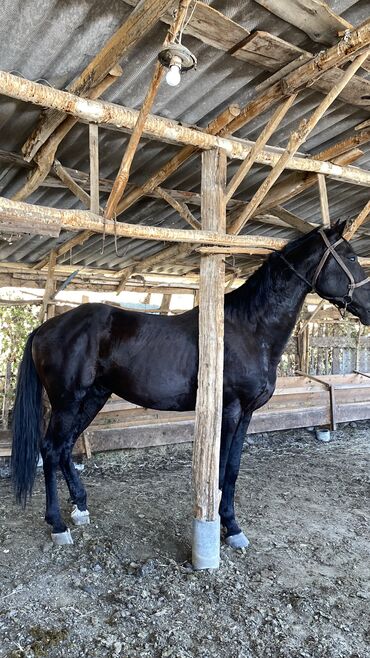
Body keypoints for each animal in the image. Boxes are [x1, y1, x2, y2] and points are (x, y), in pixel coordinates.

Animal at [10, 220, 370, 544]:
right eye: (351, 257)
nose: (368, 307)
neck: (248, 329)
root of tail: (44, 328)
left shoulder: (247, 414)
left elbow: (233, 468)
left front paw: (232, 526)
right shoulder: (230, 410)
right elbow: (221, 470)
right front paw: (228, 526)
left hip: (93, 397)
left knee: (66, 446)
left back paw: (80, 508)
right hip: (67, 401)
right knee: (51, 448)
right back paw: (58, 525)